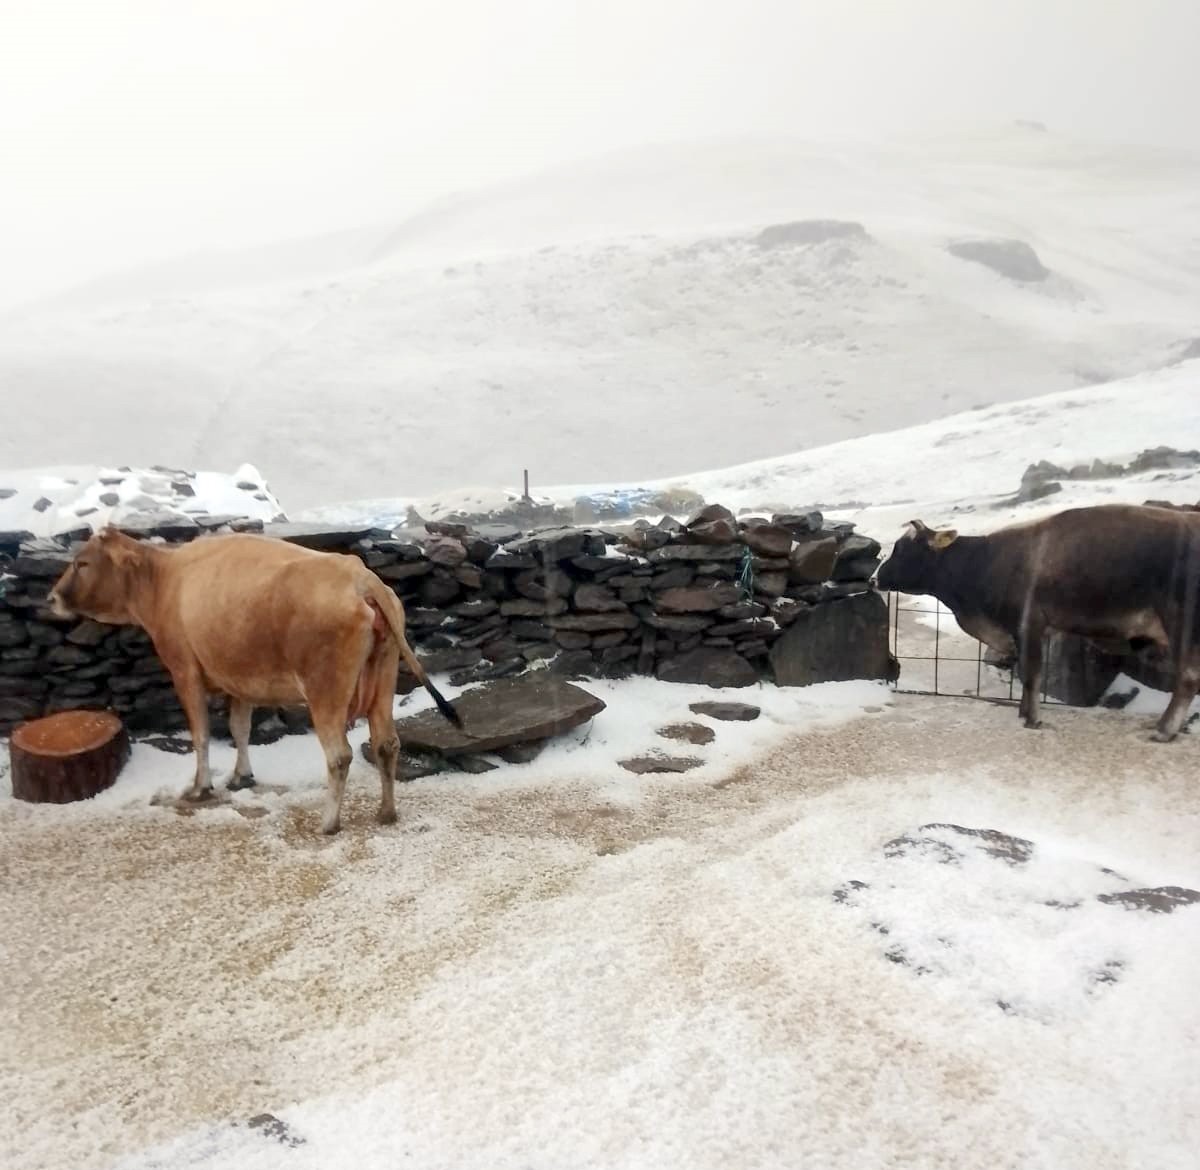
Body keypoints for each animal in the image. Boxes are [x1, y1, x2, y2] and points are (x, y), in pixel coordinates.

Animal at [49, 530, 458, 830]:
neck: (164, 581)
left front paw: (200, 787)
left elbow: (201, 734)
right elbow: (239, 728)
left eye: (82, 562)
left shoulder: (184, 669)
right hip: (383, 678)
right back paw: (386, 813)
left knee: (339, 755)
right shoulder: (238, 679)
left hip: (325, 688)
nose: (52, 598)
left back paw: (328, 822)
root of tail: (360, 577)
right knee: (386, 743)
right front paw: (241, 776)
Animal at [873, 504, 1200, 739]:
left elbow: (1031, 673)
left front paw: (1031, 719)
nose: (875, 578)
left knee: (1187, 678)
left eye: (903, 549)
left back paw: (1164, 730)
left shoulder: (1029, 622)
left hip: (1181, 624)